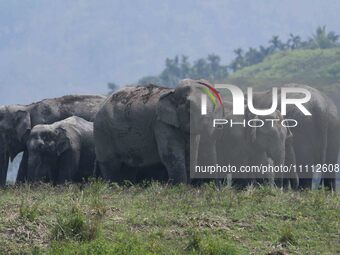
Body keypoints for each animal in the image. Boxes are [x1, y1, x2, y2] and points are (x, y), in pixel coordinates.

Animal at [94, 79, 224, 183]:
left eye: (215, 107)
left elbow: (190, 155)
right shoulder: (161, 123)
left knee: (128, 168)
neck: (172, 93)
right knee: (111, 165)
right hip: (103, 132)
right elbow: (170, 155)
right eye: (189, 107)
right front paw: (180, 189)